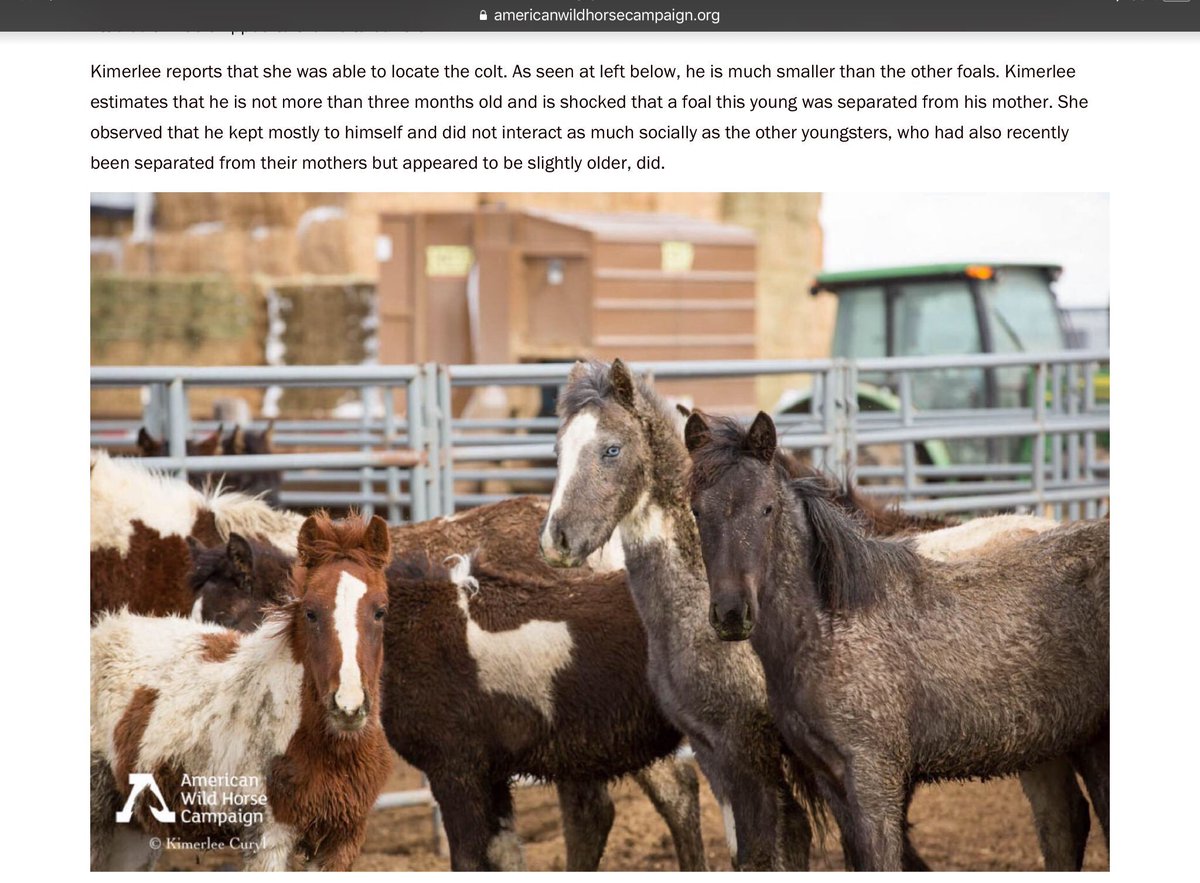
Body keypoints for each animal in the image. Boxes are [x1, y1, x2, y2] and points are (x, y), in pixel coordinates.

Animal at [91, 513, 395, 871]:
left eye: (380, 611)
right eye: (310, 612)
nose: (348, 707)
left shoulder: (342, 839)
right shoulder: (268, 836)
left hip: (133, 827)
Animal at [685, 410, 1109, 871]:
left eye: (767, 508)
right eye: (696, 510)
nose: (731, 613)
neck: (829, 627)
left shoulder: (876, 780)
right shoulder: (832, 782)